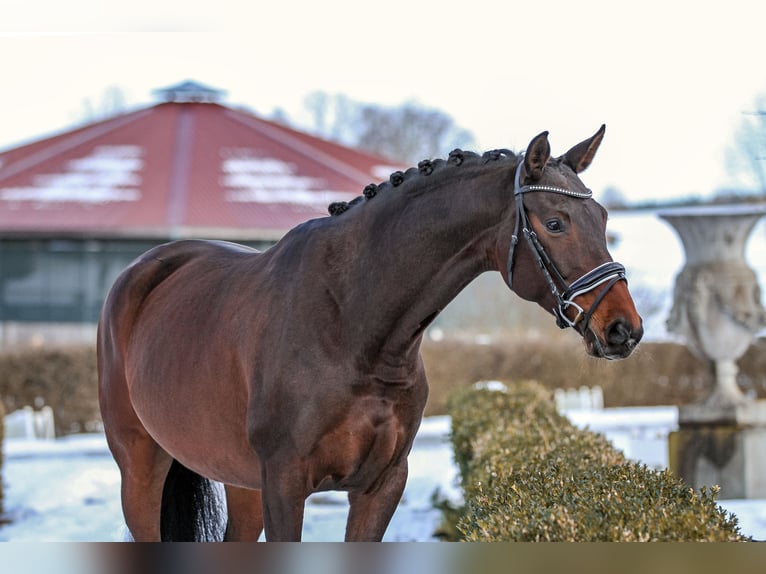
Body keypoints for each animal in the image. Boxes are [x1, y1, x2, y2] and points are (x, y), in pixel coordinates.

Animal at [99, 124, 644, 544]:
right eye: (555, 222)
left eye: (602, 218)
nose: (624, 329)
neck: (351, 326)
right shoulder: (284, 484)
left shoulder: (380, 485)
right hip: (141, 467)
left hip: (239, 481)